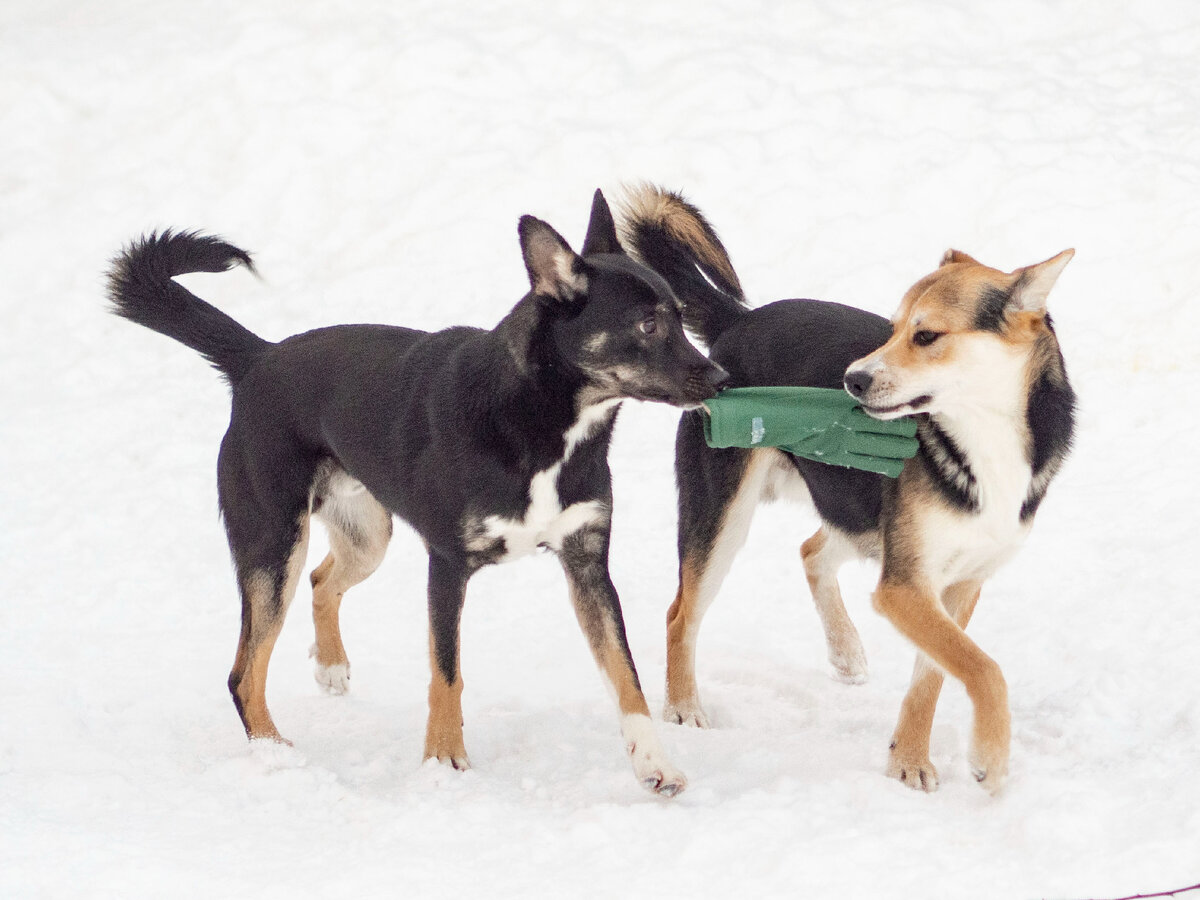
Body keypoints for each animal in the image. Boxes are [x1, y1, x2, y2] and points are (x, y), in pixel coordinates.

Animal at [108, 192, 724, 796]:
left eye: (678, 315)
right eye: (647, 324)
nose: (719, 377)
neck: (539, 420)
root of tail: (257, 358)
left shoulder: (588, 563)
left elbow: (626, 677)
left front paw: (655, 764)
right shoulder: (448, 565)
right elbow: (446, 673)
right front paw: (444, 762)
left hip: (366, 535)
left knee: (321, 582)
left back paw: (330, 666)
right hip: (273, 546)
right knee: (244, 671)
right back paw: (275, 756)